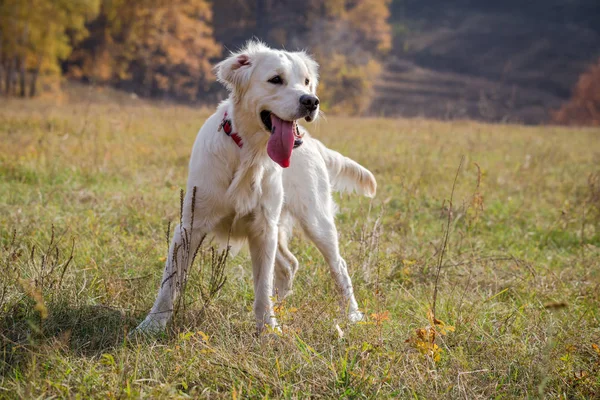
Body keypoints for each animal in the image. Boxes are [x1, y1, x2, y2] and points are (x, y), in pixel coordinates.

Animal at [136, 41, 376, 334]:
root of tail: (312, 142)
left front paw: (268, 329)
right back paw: (283, 307)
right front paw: (152, 324)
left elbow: (263, 285)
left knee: (337, 266)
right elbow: (169, 283)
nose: (311, 101)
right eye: (276, 79)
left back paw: (352, 314)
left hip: (316, 221)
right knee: (289, 264)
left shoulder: (262, 228)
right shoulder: (190, 226)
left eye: (307, 82)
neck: (250, 153)